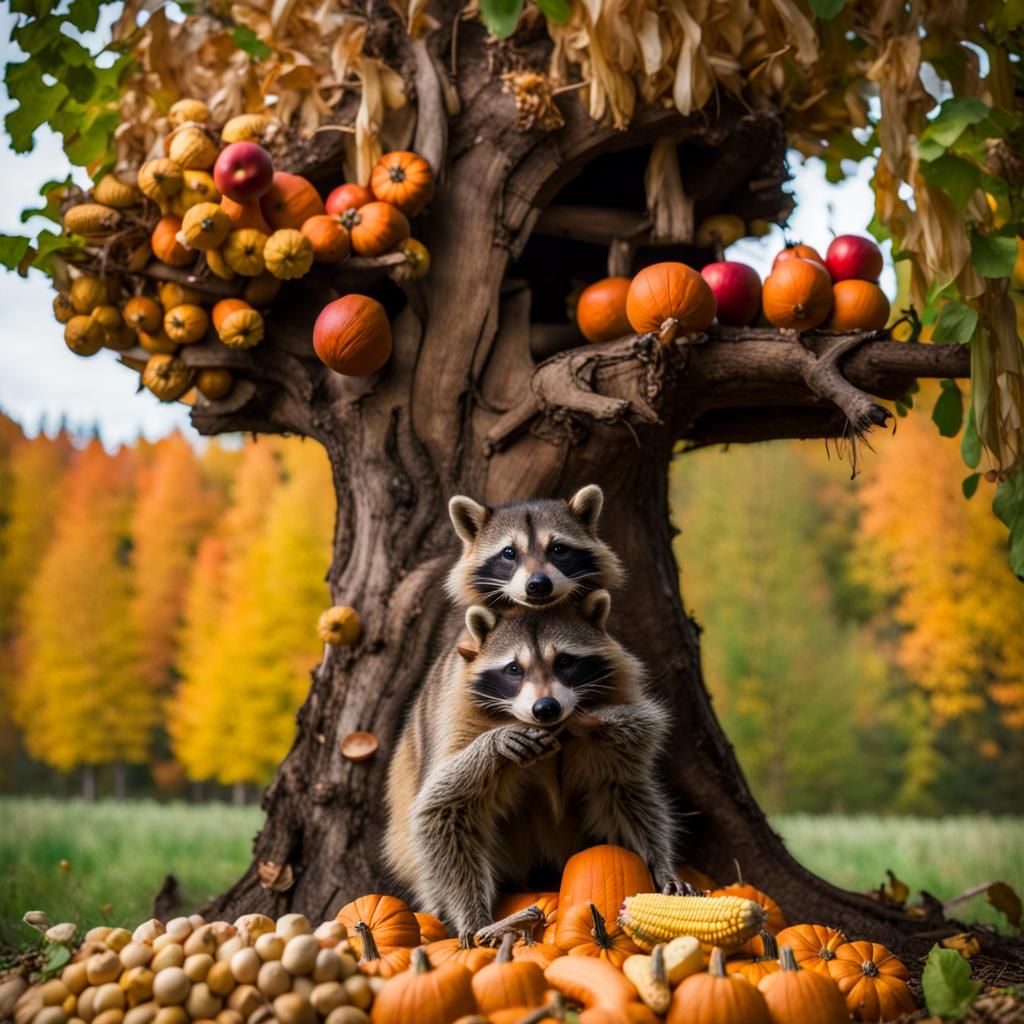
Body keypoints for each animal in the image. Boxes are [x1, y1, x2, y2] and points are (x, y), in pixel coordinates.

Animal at [383, 590, 678, 939]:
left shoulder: (623, 710)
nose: (546, 707)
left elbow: (626, 784)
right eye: (514, 668)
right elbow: (441, 804)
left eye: (564, 661)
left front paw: (659, 861)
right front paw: (473, 916)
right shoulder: (456, 716)